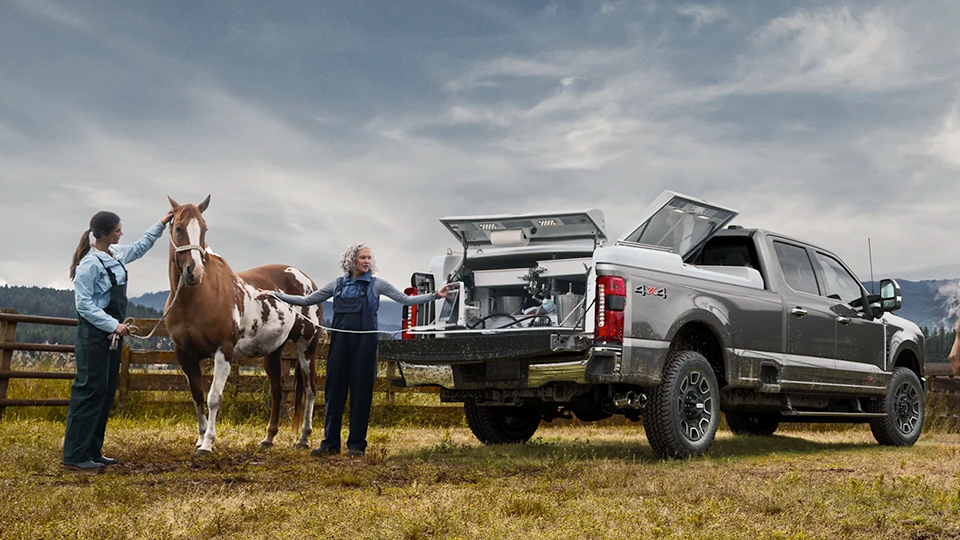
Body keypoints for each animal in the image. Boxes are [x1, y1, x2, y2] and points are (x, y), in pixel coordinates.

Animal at [163, 194, 324, 456]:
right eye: (178, 228)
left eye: (204, 229)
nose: (194, 272)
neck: (197, 298)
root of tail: (307, 280)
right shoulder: (185, 356)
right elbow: (197, 396)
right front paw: (200, 438)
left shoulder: (223, 352)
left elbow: (213, 397)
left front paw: (207, 444)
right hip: (273, 352)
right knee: (277, 389)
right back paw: (268, 438)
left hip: (306, 347)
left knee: (310, 389)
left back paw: (303, 439)